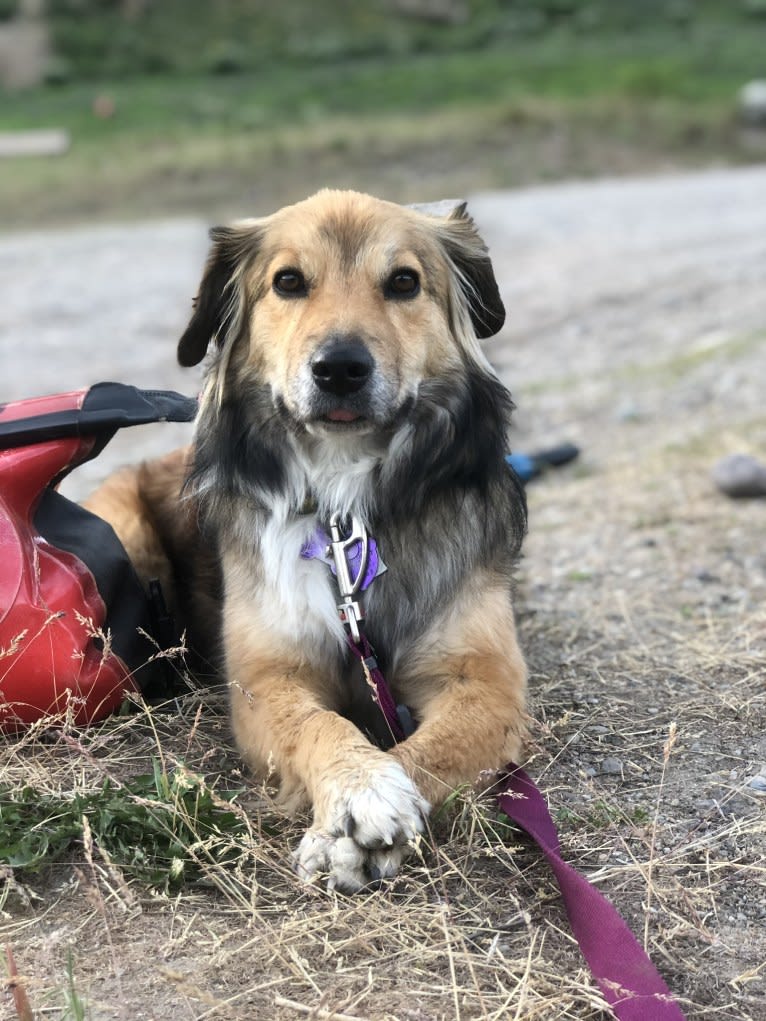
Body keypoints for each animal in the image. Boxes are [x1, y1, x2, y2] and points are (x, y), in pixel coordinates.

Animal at [83, 191, 527, 894]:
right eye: (288, 281)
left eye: (404, 282)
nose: (340, 369)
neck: (345, 504)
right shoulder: (268, 679)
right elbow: (320, 723)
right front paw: (360, 789)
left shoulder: (486, 681)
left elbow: (432, 747)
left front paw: (359, 824)